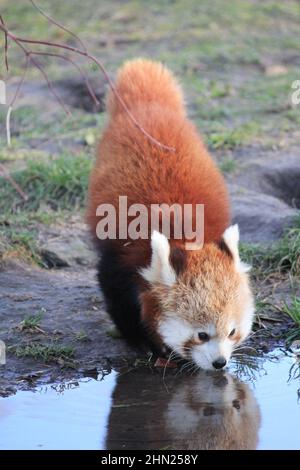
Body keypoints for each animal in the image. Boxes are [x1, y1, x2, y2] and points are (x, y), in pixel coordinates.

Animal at [86, 58, 253, 370]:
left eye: (232, 331)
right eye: (202, 335)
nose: (220, 363)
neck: (184, 235)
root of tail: (149, 105)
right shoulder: (123, 254)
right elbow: (116, 293)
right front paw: (144, 342)